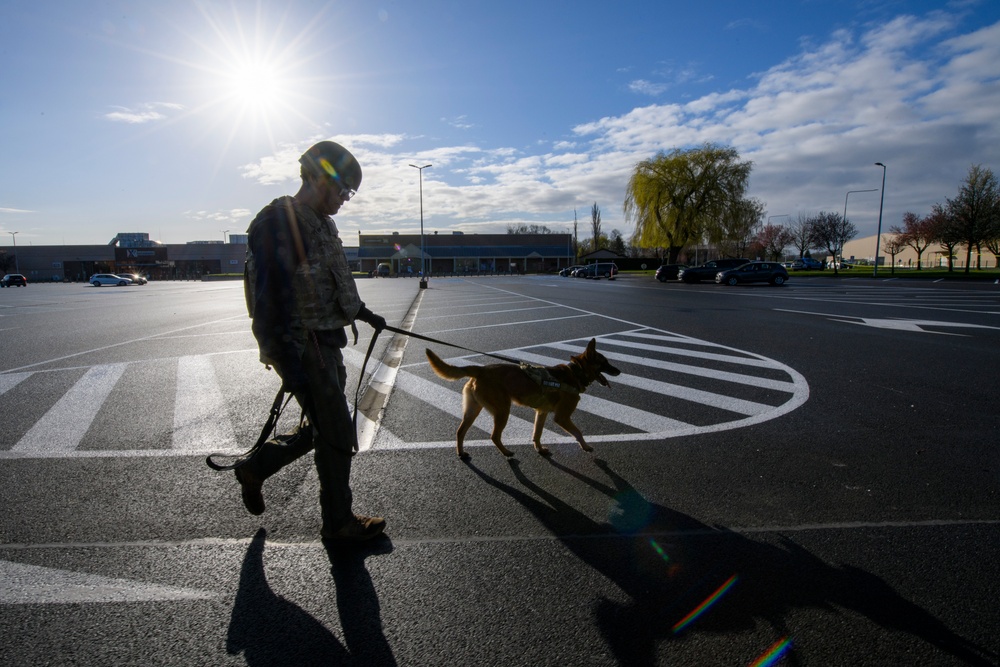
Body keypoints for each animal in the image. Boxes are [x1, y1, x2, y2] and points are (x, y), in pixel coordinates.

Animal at [422, 340, 616, 460]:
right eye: (604, 362)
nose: (619, 371)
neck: (576, 373)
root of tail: (480, 369)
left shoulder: (542, 413)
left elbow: (537, 434)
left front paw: (539, 449)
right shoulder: (562, 417)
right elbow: (578, 432)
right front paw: (585, 446)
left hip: (473, 410)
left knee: (460, 432)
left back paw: (461, 453)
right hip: (502, 411)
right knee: (494, 436)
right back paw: (506, 452)